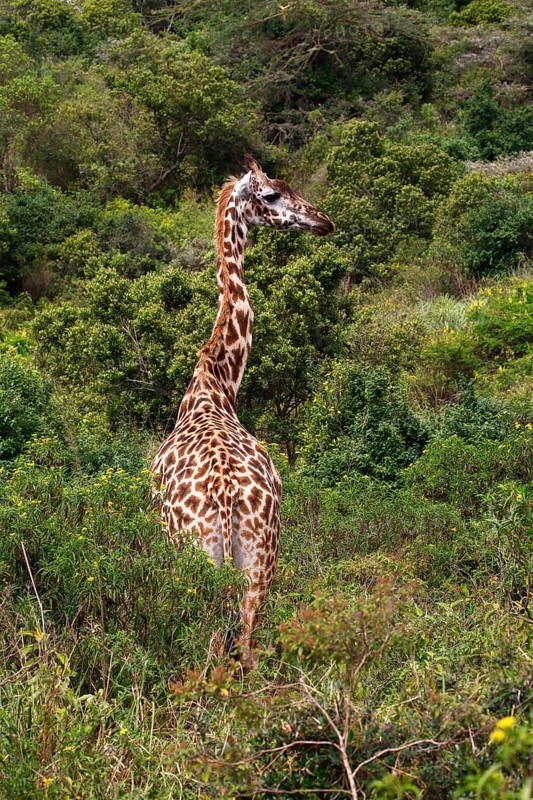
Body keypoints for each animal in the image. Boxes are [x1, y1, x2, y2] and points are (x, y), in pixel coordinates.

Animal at [151, 157, 335, 667]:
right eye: (272, 195)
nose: (324, 221)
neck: (217, 383)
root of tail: (227, 496)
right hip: (259, 560)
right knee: (244, 651)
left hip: (199, 556)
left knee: (213, 648)